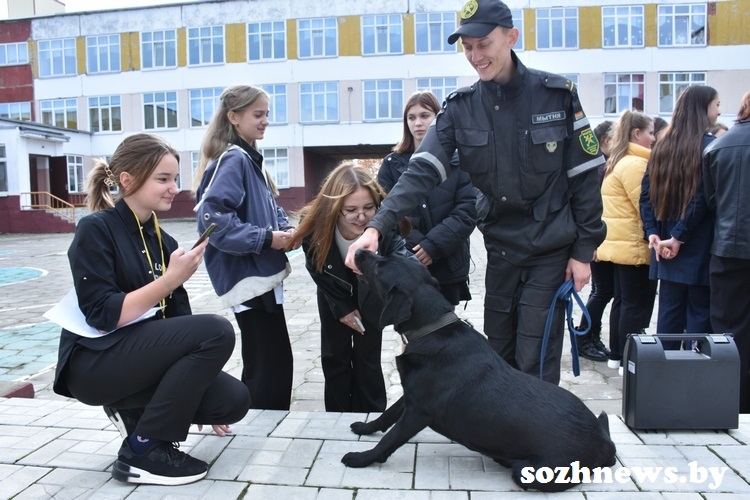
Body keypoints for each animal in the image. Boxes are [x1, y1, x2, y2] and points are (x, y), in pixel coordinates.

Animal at [344, 250, 620, 492]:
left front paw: (361, 458)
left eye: (380, 266)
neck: (431, 329)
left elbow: (389, 440)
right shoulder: (411, 396)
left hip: (533, 472)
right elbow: (387, 415)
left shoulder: (418, 413)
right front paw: (365, 428)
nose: (358, 251)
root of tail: (604, 441)